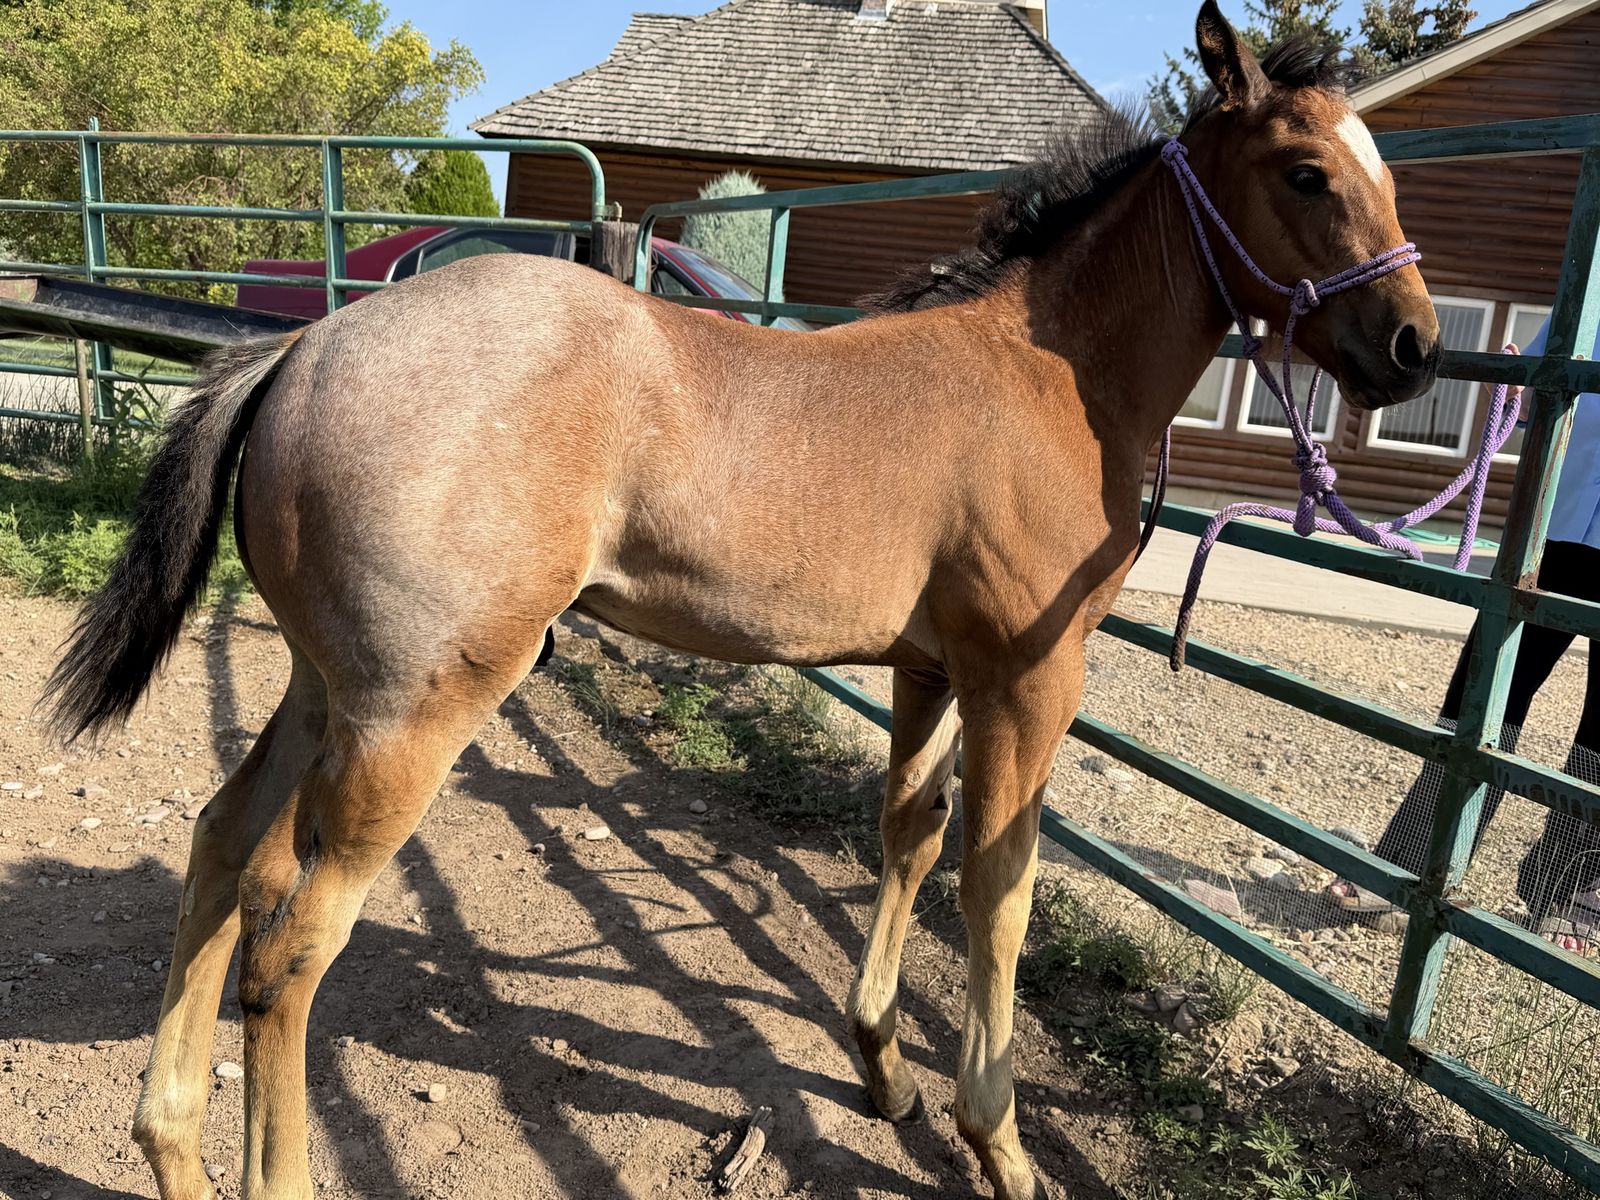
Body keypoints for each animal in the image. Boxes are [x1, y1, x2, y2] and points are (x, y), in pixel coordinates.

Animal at [44, 5, 1440, 1197]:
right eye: (1307, 172)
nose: (1412, 345)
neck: (1046, 371)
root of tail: (307, 344)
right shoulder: (1029, 678)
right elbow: (1000, 885)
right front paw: (998, 1144)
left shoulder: (929, 667)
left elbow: (909, 833)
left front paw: (883, 1071)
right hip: (413, 713)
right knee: (288, 951)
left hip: (321, 685)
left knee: (222, 848)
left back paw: (171, 1148)